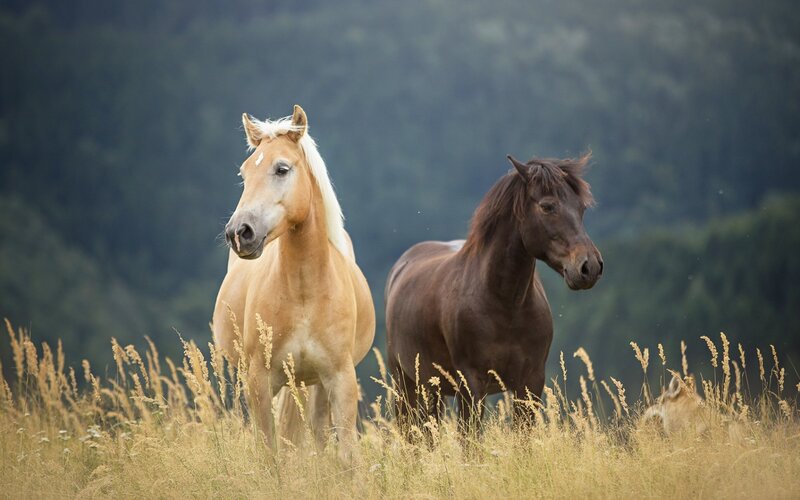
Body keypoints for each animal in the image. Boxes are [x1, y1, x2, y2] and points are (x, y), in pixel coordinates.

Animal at [212, 105, 375, 460]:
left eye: (282, 168)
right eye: (244, 174)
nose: (239, 232)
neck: (304, 295)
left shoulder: (340, 379)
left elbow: (347, 456)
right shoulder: (260, 382)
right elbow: (271, 454)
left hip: (313, 385)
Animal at [385, 153, 602, 429]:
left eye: (581, 208)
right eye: (547, 207)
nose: (590, 267)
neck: (505, 305)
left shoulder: (530, 383)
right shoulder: (471, 385)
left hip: (432, 389)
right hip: (406, 385)